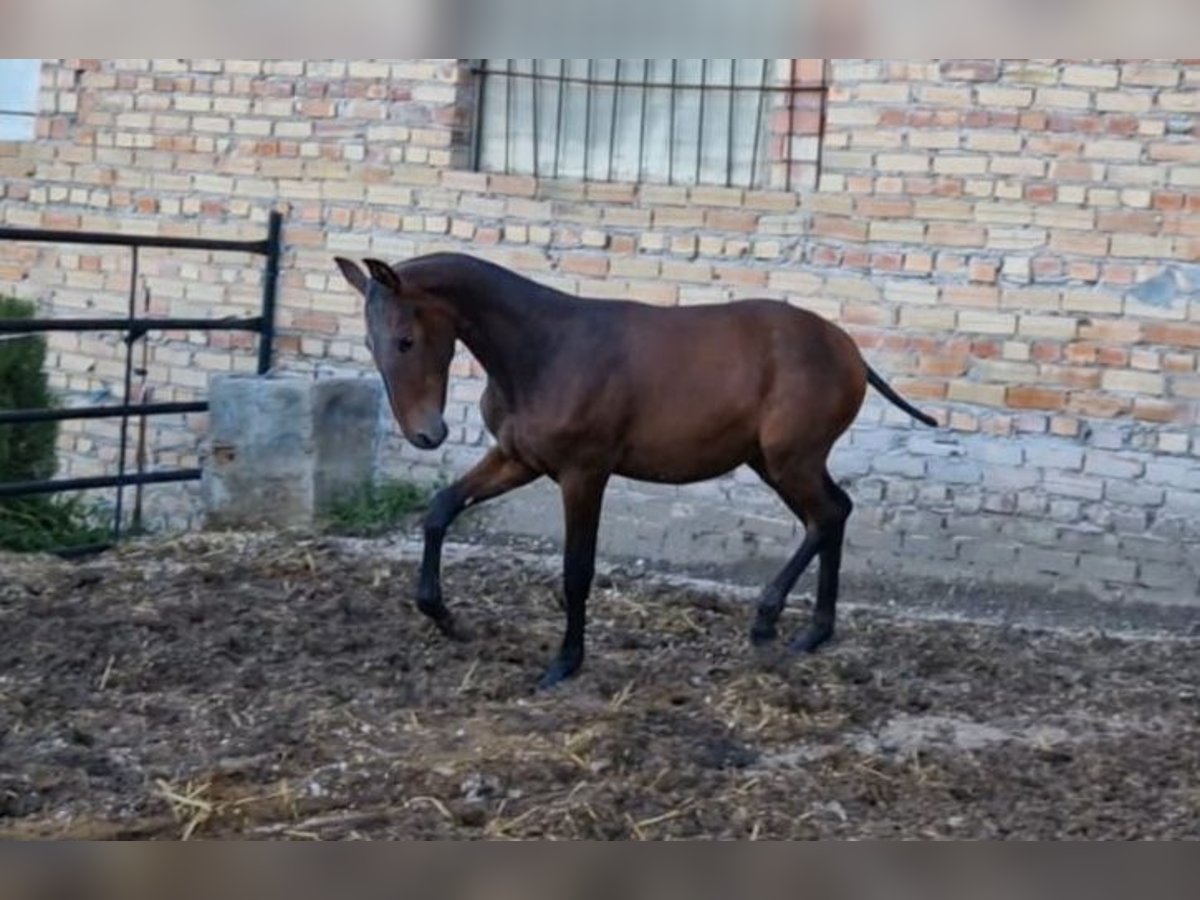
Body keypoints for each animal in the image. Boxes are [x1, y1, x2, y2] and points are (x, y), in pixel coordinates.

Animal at [336, 254, 936, 691]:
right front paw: (445, 617)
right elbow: (440, 509)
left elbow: (577, 569)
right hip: (772, 461)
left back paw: (771, 618)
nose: (426, 434)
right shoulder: (518, 460)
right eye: (368, 342)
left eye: (406, 339)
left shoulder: (584, 471)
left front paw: (564, 663)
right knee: (833, 514)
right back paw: (812, 631)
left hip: (791, 460)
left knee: (827, 515)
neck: (545, 349)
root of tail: (850, 352)